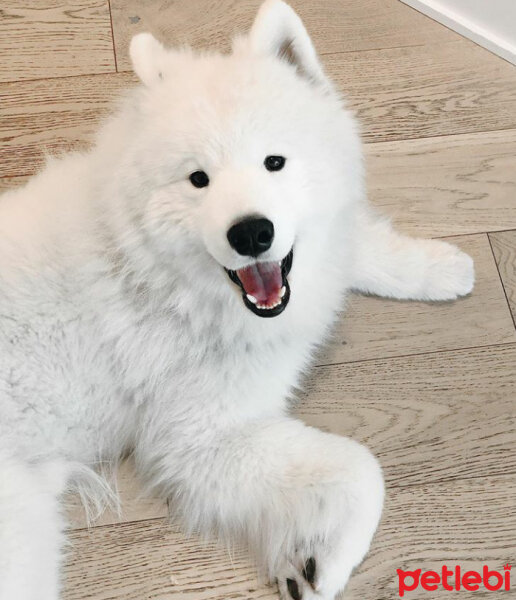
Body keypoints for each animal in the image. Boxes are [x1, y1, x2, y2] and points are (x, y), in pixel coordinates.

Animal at [0, 2, 474, 596]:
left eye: (274, 162)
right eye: (198, 179)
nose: (251, 234)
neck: (157, 276)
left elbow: (357, 245)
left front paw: (441, 267)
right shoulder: (200, 436)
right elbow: (362, 468)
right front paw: (320, 561)